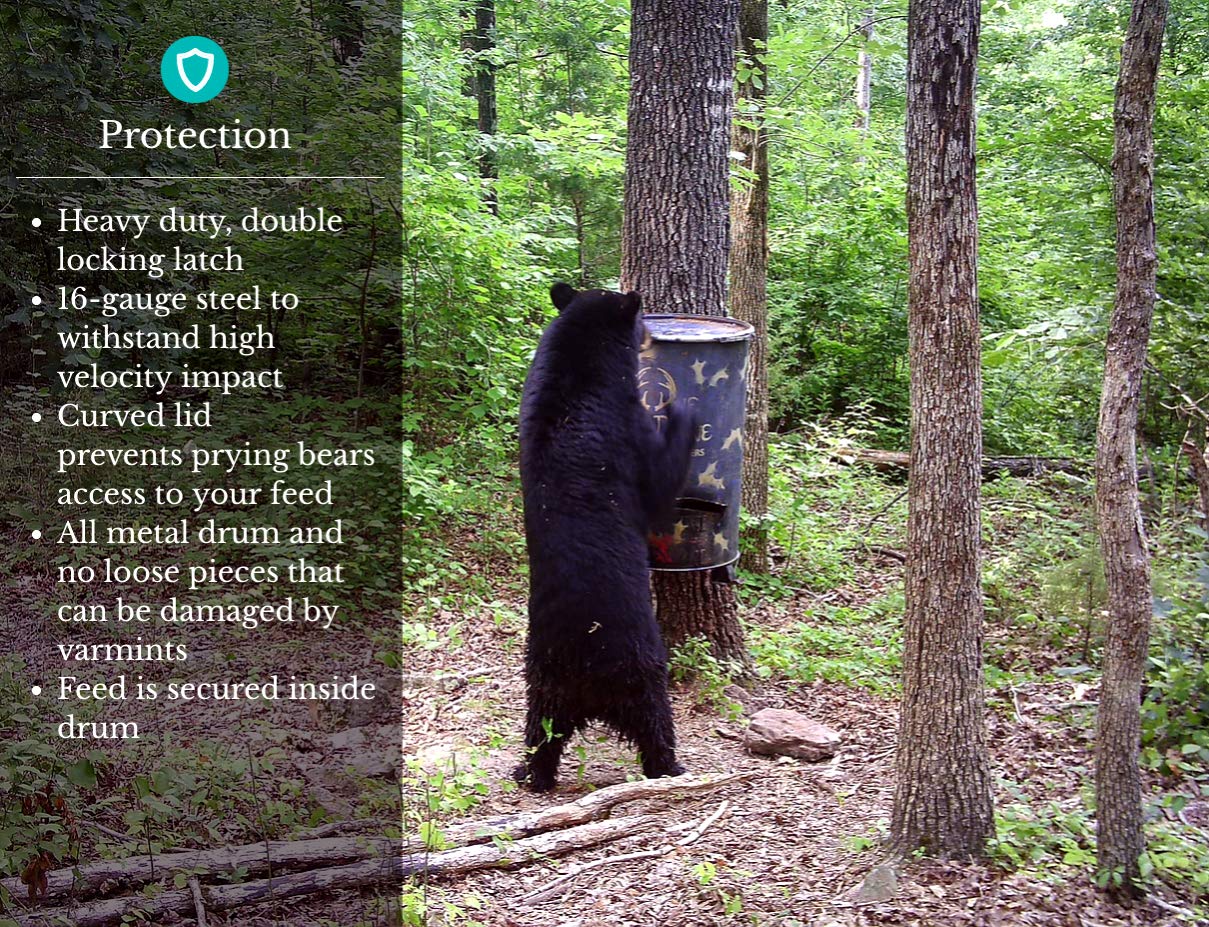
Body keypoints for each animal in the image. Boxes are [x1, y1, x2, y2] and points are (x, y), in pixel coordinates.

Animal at [515, 282, 696, 792]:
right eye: (640, 321)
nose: (651, 328)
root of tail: (588, 694)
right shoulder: (626, 425)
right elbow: (659, 483)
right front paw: (681, 410)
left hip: (542, 683)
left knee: (540, 732)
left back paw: (529, 772)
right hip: (642, 665)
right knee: (655, 721)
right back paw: (669, 766)